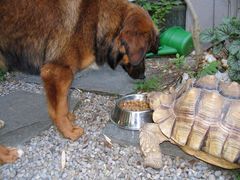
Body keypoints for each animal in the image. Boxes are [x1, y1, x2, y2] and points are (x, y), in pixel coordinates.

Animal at [0, 0, 159, 163]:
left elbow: (63, 104)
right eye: (144, 53)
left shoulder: (64, 75)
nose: (143, 76)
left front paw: (69, 118)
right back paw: (7, 155)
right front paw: (69, 131)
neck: (97, 21)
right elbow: (58, 110)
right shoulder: (56, 71)